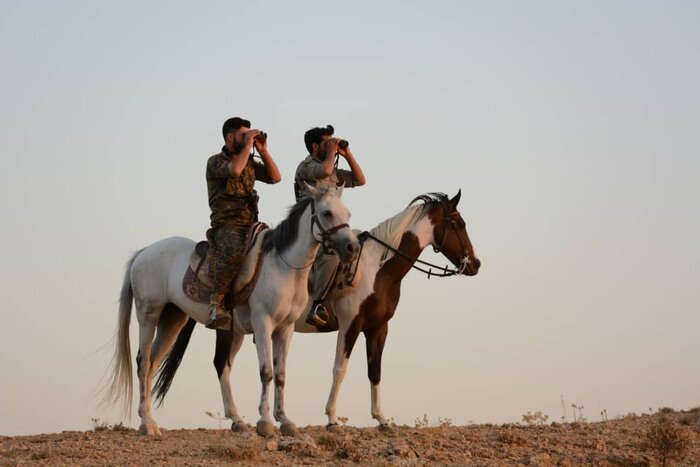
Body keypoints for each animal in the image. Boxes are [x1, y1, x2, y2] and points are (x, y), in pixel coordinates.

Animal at [104, 186, 358, 438]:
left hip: (174, 320)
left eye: (347, 213)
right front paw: (265, 422)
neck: (284, 268)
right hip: (148, 315)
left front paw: (285, 420)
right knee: (143, 361)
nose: (352, 248)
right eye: (326, 213)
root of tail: (143, 252)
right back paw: (147, 424)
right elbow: (266, 372)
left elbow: (281, 375)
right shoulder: (263, 325)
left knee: (159, 363)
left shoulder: (286, 329)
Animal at [154, 191, 482, 432]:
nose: (475, 264)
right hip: (229, 328)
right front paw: (332, 419)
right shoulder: (352, 324)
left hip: (237, 331)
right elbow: (340, 369)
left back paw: (238, 420)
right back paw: (239, 420)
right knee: (221, 364)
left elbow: (374, 371)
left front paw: (382, 419)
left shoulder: (378, 327)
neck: (377, 267)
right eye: (458, 222)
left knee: (225, 365)